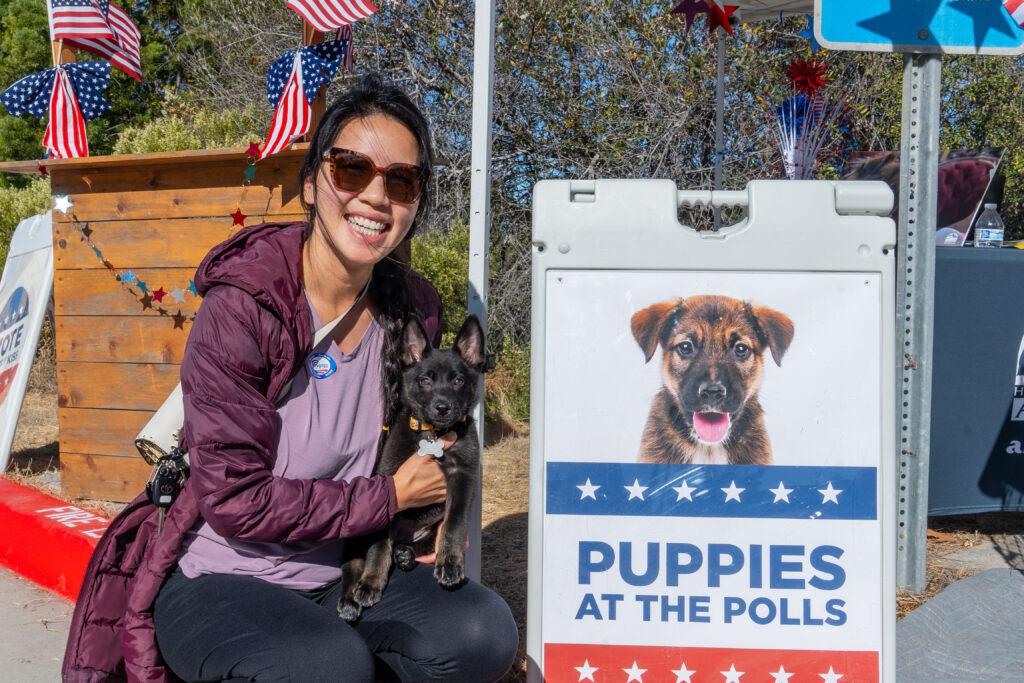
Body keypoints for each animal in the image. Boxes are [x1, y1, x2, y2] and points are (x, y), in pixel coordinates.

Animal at [337, 317, 485, 622]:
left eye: (458, 380)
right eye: (424, 380)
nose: (443, 407)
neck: (433, 434)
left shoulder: (463, 476)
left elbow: (454, 524)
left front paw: (450, 564)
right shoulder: (389, 483)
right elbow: (379, 544)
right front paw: (371, 582)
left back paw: (406, 554)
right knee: (353, 563)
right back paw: (350, 597)